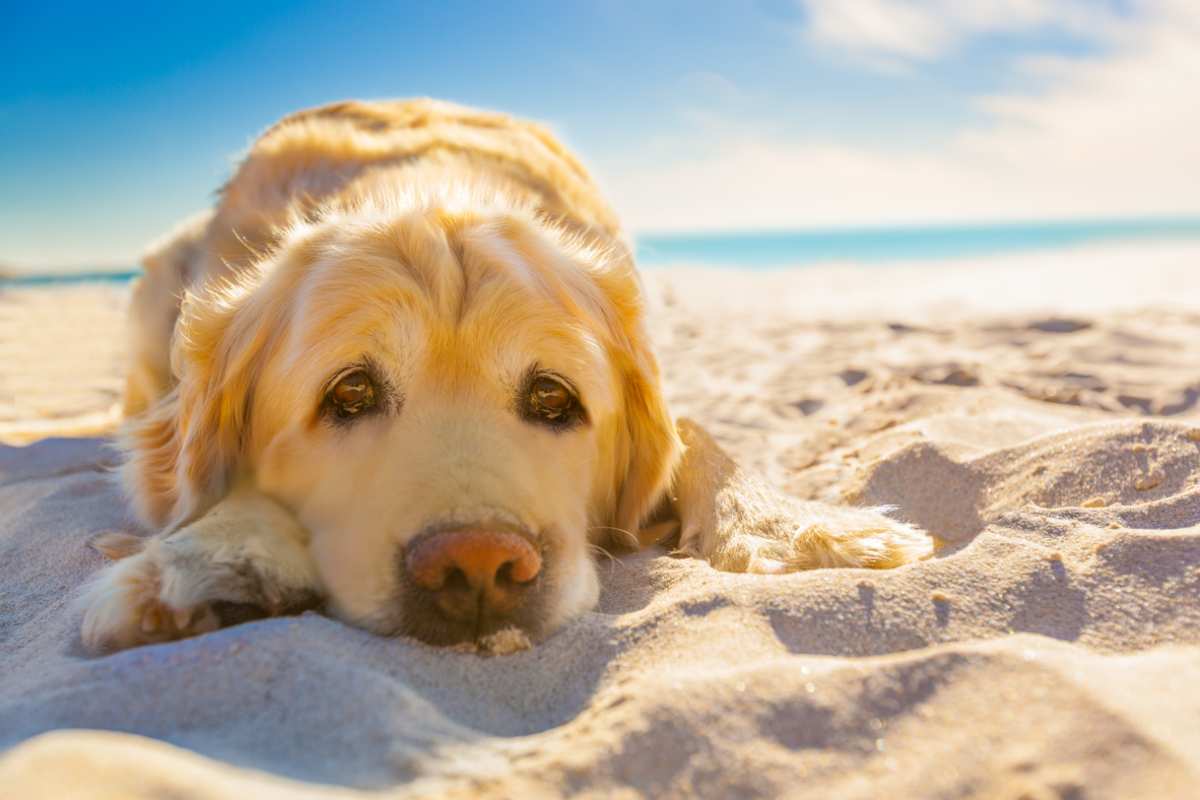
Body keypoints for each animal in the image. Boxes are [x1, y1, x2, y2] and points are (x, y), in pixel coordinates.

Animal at [79, 97, 931, 652]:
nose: (478, 563)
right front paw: (209, 559)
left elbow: (695, 429)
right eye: (349, 392)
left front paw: (799, 529)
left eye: (553, 396)